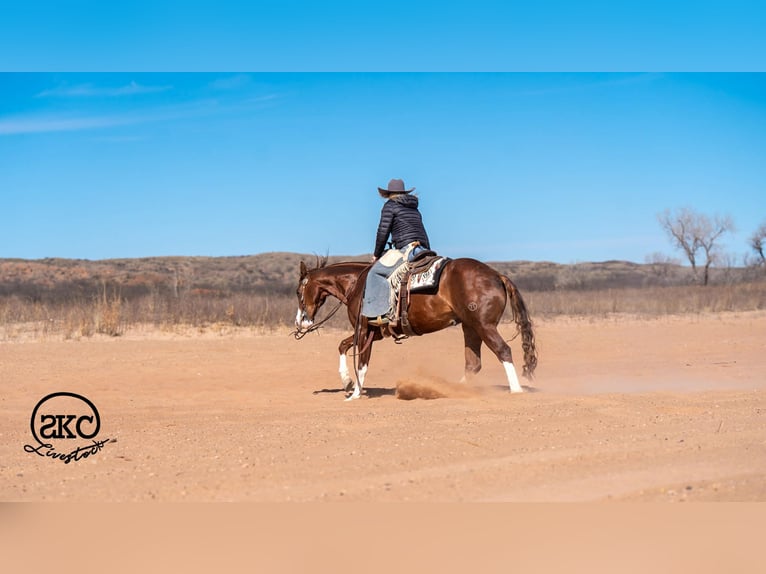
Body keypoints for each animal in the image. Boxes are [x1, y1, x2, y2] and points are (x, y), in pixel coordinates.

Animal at [294, 256, 537, 400]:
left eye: (298, 291)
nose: (300, 322)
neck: (358, 284)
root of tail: (497, 276)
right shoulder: (374, 333)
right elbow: (342, 346)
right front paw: (347, 383)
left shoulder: (363, 330)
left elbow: (362, 363)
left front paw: (354, 393)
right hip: (470, 327)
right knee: (473, 364)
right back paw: (450, 389)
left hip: (483, 325)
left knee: (503, 351)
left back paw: (516, 390)